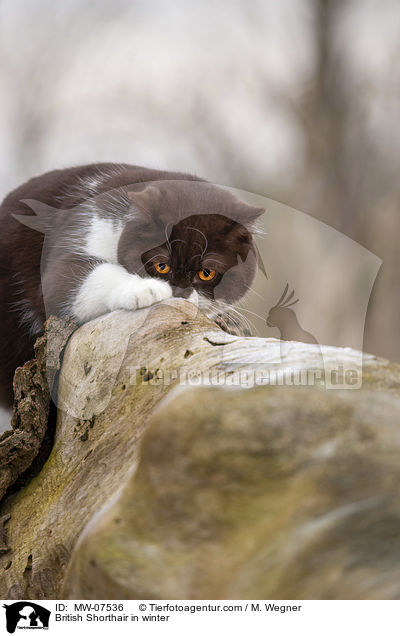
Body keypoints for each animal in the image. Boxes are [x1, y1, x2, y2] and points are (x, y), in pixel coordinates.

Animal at [0, 164, 264, 410]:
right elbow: (75, 277)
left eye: (206, 273)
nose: (179, 292)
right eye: (161, 266)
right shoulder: (79, 230)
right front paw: (145, 289)